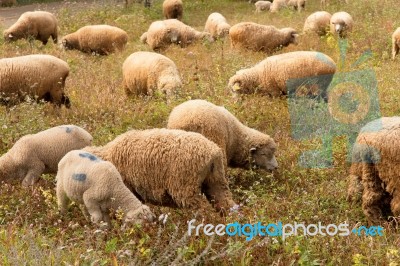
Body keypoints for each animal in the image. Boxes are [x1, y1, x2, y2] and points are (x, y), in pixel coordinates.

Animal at [83, 128, 238, 213]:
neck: (107, 156)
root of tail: (213, 153)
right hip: (216, 180)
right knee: (226, 204)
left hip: (185, 187)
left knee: (204, 212)